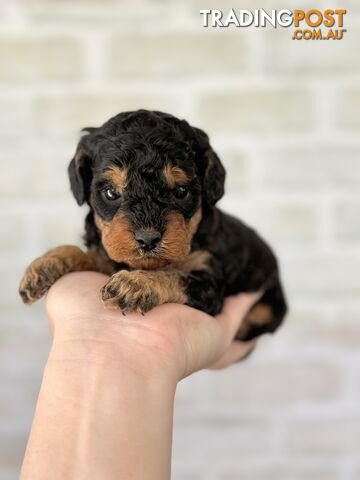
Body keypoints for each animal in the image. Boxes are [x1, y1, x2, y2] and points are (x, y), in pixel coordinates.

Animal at [21, 109, 288, 342]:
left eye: (181, 191)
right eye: (110, 193)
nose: (147, 239)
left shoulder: (208, 278)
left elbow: (174, 274)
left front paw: (134, 285)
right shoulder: (108, 254)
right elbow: (89, 254)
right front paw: (45, 264)